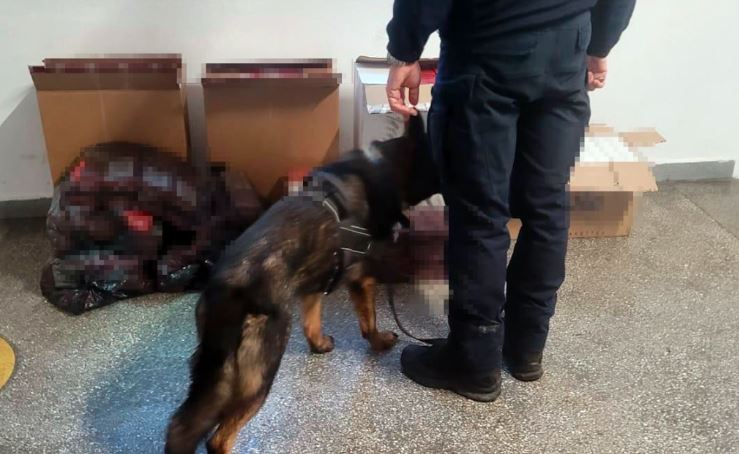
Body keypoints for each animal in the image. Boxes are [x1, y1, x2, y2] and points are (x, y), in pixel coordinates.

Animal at [165, 114, 438, 454]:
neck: (385, 167)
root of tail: (228, 287)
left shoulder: (314, 285)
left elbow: (312, 322)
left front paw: (319, 345)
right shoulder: (362, 279)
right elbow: (369, 321)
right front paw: (379, 341)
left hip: (214, 370)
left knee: (183, 426)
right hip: (260, 373)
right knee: (218, 438)